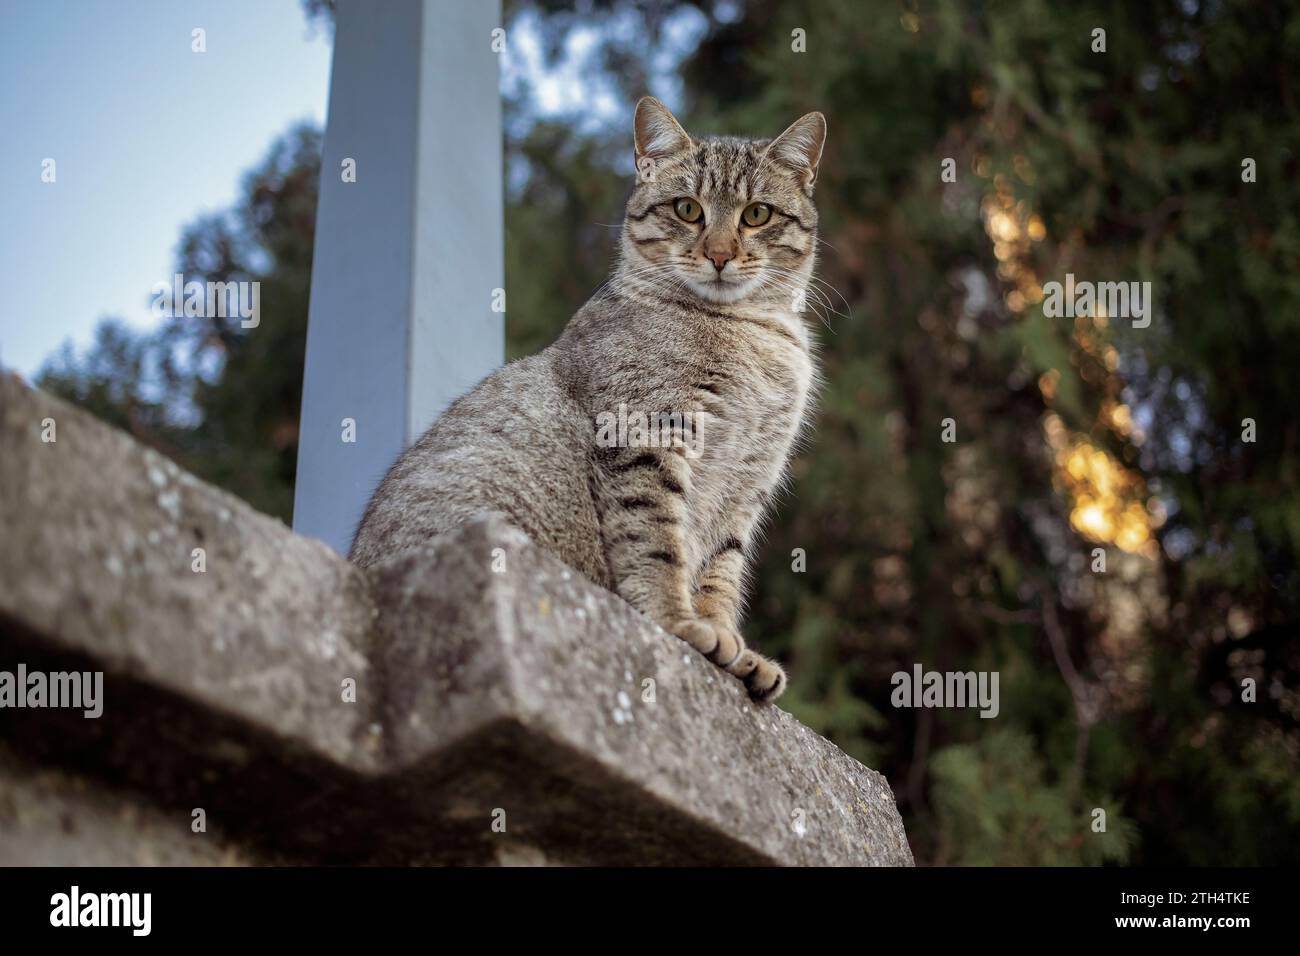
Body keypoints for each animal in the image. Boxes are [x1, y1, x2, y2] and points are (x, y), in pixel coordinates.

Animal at [351, 97, 826, 702]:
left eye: (757, 215)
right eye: (688, 209)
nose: (719, 254)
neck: (752, 334)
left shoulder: (745, 485)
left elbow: (720, 572)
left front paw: (731, 646)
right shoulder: (645, 436)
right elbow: (658, 545)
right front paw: (679, 625)